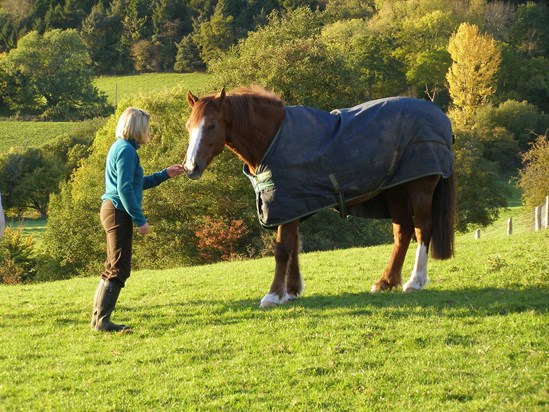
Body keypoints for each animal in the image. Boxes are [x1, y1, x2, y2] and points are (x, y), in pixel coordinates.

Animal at [182, 86, 456, 306]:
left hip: (420, 188)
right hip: (396, 190)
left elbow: (283, 249)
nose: (190, 167)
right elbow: (294, 246)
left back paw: (415, 281)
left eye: (211, 126)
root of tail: (440, 116)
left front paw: (273, 295)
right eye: (189, 127)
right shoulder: (293, 205)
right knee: (403, 233)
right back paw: (386, 281)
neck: (273, 139)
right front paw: (291, 290)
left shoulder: (286, 203)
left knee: (422, 229)